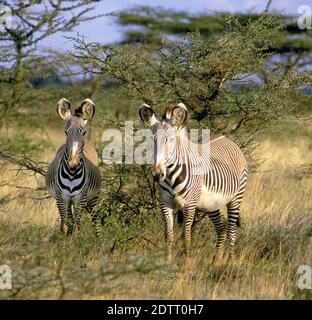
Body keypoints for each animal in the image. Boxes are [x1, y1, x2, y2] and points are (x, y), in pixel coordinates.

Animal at [45, 99, 102, 236]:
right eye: (66, 132)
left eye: (84, 132)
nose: (73, 162)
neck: (71, 173)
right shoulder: (62, 199)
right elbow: (69, 223)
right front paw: (67, 238)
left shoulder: (80, 199)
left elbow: (75, 223)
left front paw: (75, 239)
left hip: (94, 196)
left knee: (95, 219)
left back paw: (99, 238)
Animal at [140, 102, 247, 262]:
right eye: (152, 141)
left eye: (170, 140)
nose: (157, 175)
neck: (171, 175)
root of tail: (225, 138)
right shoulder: (165, 203)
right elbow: (169, 236)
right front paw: (167, 262)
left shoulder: (189, 205)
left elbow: (186, 237)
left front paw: (186, 265)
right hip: (211, 204)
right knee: (221, 228)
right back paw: (217, 262)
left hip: (236, 198)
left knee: (231, 230)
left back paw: (231, 262)